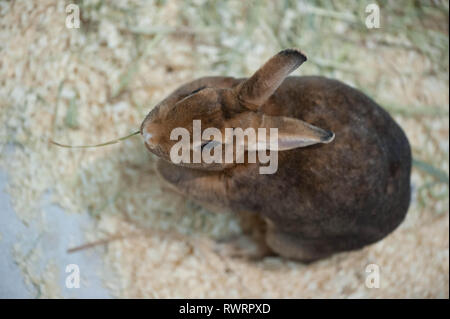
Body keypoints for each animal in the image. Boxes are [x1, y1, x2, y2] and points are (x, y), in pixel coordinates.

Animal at [140, 48, 412, 262]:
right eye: (196, 91)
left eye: (208, 145)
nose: (148, 133)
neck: (244, 155)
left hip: (288, 239)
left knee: (268, 248)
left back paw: (228, 248)